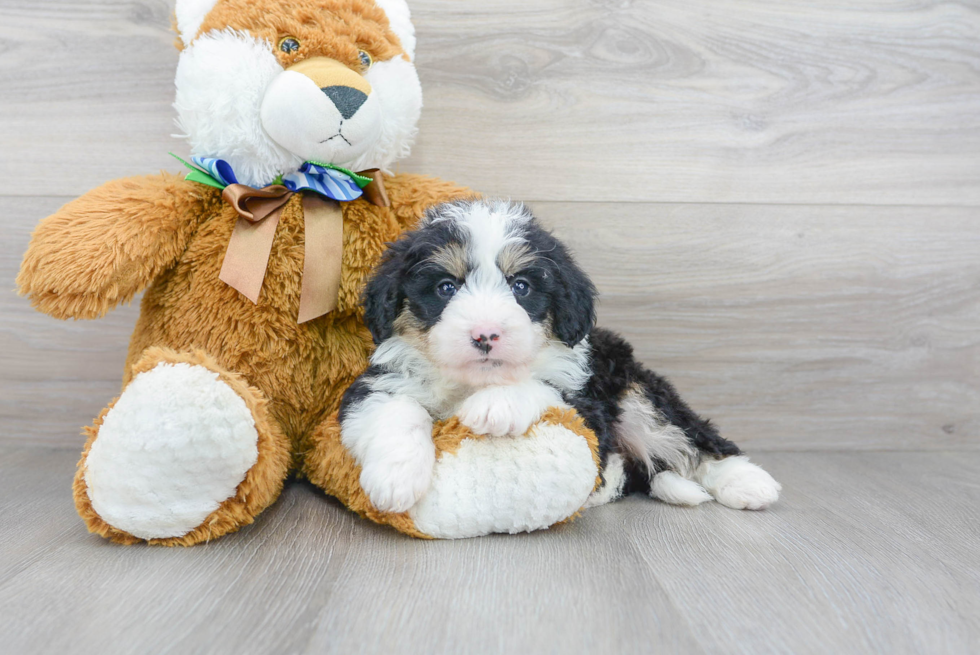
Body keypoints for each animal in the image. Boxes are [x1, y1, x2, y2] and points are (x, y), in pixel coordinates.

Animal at [338, 197, 780, 516]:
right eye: (446, 287)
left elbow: (539, 386)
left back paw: (748, 482)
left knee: (694, 438)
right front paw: (396, 479)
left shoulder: (587, 403)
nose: (485, 334)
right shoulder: (376, 384)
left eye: (521, 286)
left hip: (636, 392)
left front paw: (495, 404)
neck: (471, 382)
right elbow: (397, 409)